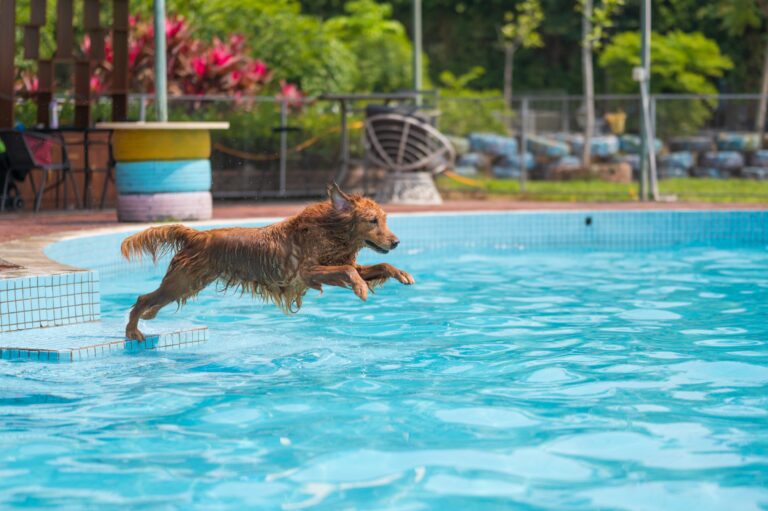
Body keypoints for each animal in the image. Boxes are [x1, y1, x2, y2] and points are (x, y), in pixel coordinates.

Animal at [121, 184, 414, 340]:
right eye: (372, 221)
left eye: (384, 220)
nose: (396, 242)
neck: (329, 231)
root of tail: (196, 234)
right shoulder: (307, 272)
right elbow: (348, 270)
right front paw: (360, 288)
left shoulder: (335, 266)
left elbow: (376, 267)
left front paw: (401, 273)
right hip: (182, 281)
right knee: (143, 298)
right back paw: (133, 330)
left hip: (189, 283)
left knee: (154, 300)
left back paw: (148, 317)